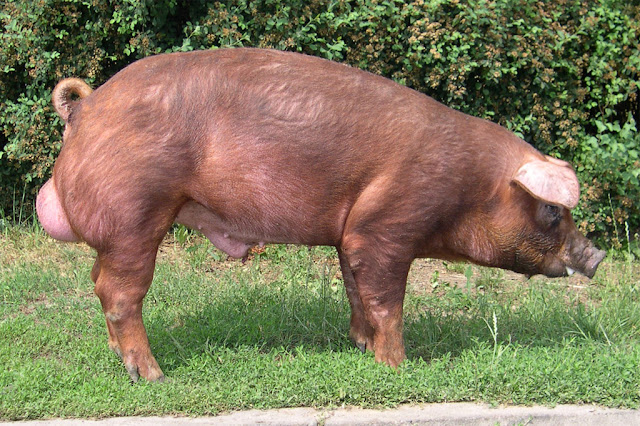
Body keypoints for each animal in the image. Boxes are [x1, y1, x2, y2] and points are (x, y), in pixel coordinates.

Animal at [36, 48, 605, 382]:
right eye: (552, 210)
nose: (597, 255)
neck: (470, 188)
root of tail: (86, 106)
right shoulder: (388, 227)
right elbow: (388, 302)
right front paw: (399, 367)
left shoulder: (352, 234)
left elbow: (355, 288)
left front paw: (360, 347)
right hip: (135, 212)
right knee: (119, 293)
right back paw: (152, 376)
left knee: (98, 281)